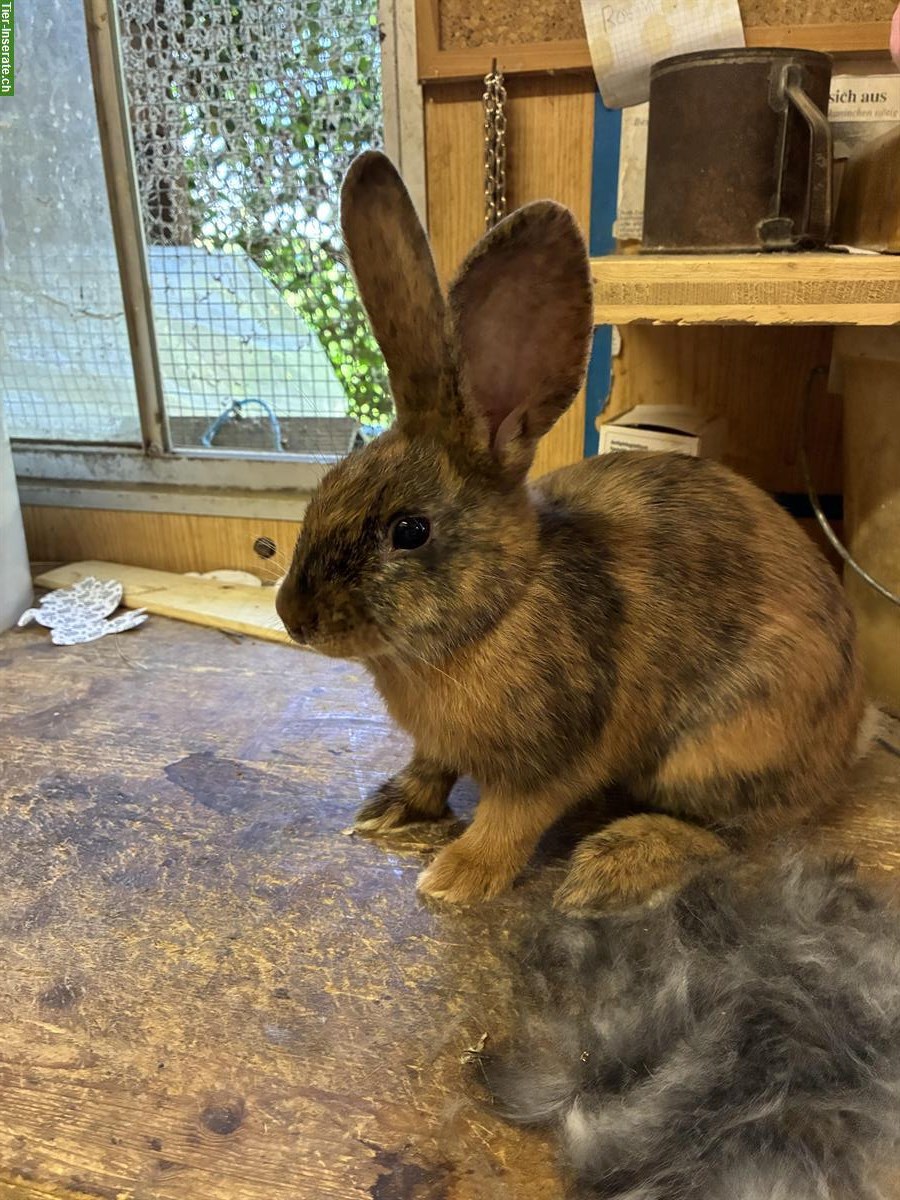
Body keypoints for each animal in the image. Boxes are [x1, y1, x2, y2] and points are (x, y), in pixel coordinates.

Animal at [276, 150, 866, 909]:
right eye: (326, 488)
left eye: (409, 531)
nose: (292, 616)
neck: (500, 607)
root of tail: (847, 742)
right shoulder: (439, 744)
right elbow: (431, 764)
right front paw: (391, 807)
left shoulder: (551, 759)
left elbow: (510, 819)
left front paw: (457, 877)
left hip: (719, 750)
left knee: (736, 838)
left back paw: (614, 864)